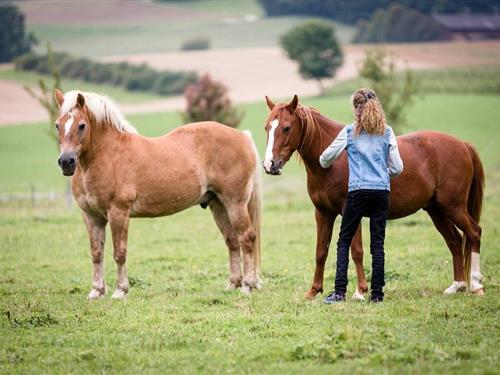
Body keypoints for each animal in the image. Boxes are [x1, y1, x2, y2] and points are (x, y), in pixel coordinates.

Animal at [54, 89, 264, 300]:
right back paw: (233, 284)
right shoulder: (91, 216)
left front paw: (121, 291)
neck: (108, 155)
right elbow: (97, 253)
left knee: (247, 238)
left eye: (82, 125)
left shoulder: (118, 212)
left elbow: (119, 252)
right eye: (57, 125)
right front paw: (96, 291)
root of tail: (243, 136)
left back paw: (247, 285)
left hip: (235, 204)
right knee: (232, 241)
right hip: (218, 205)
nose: (66, 162)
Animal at [262, 95, 484, 302]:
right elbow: (321, 251)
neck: (335, 161)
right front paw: (313, 292)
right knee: (455, 241)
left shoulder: (351, 212)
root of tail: (463, 145)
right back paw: (457, 286)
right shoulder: (323, 213)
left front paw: (360, 291)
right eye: (267, 128)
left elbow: (357, 251)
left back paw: (476, 286)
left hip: (454, 207)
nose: (269, 164)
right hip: (436, 210)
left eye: (287, 128)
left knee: (474, 233)